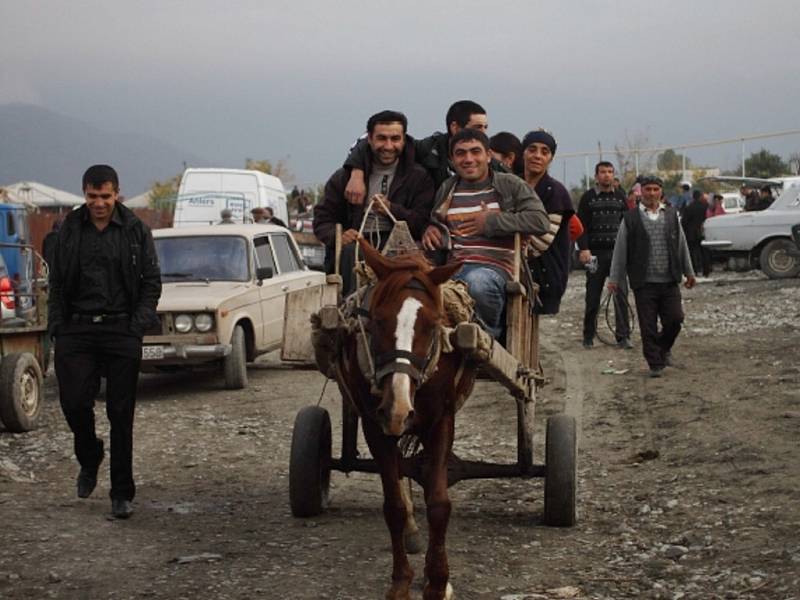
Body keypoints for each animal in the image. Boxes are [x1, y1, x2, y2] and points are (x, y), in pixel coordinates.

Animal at [336, 239, 478, 600]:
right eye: (377, 320)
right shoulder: (376, 427)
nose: (398, 407)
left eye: (432, 323)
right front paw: (401, 581)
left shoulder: (441, 421)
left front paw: (438, 582)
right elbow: (394, 507)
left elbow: (439, 504)